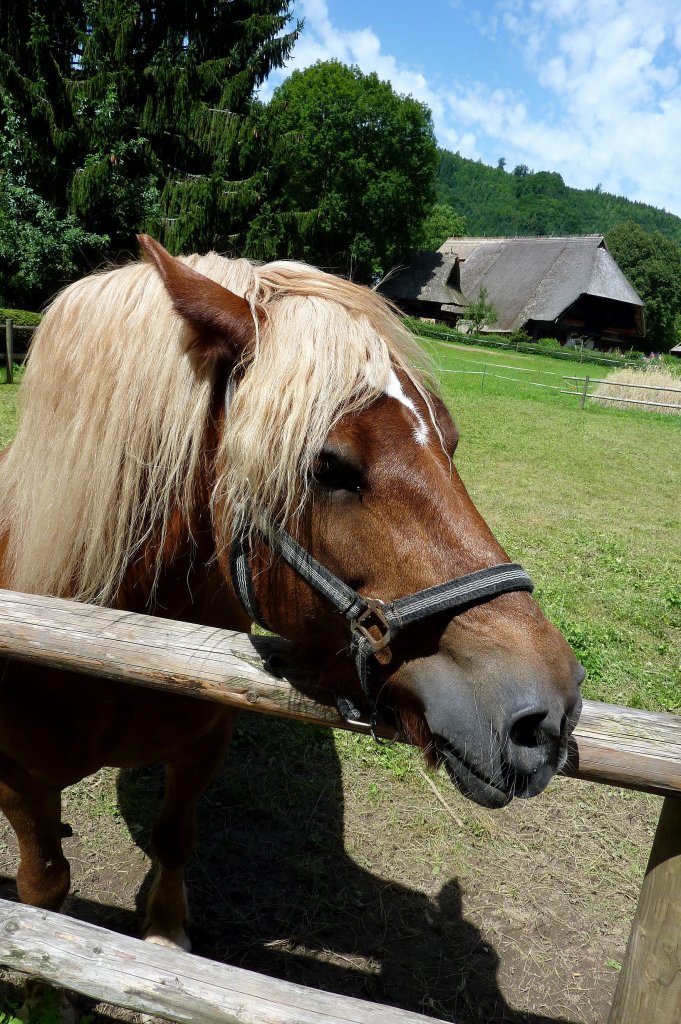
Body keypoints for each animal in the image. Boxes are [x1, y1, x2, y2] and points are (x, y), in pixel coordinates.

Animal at [0, 235, 581, 954]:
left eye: (450, 442)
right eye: (328, 466)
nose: (547, 711)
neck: (99, 640)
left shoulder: (201, 749)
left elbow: (174, 838)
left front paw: (165, 930)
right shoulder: (19, 783)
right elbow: (44, 886)